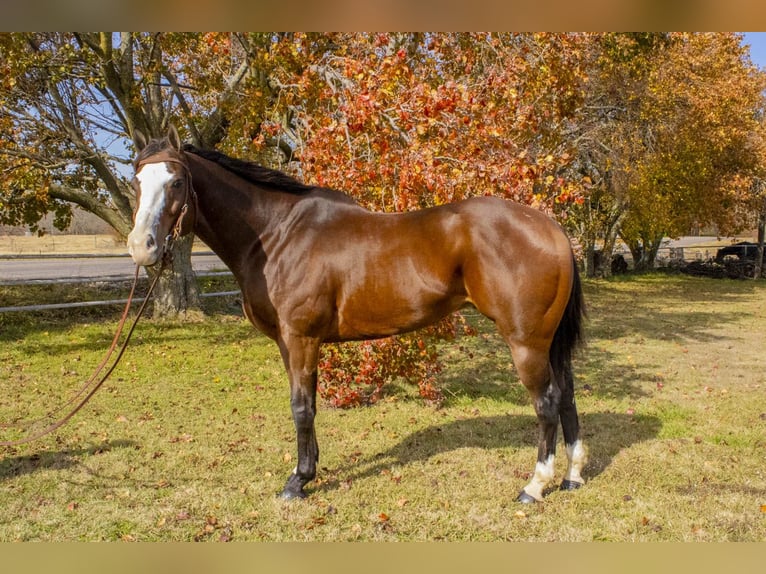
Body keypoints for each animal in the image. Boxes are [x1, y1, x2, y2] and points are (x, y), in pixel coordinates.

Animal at [127, 127, 587, 503]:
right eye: (137, 181)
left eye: (176, 181)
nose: (141, 247)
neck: (277, 235)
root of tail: (551, 229)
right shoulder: (289, 343)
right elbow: (307, 403)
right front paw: (308, 471)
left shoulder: (301, 338)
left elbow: (301, 407)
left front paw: (297, 482)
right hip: (548, 343)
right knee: (566, 396)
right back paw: (572, 477)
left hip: (526, 342)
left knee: (546, 403)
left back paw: (534, 486)